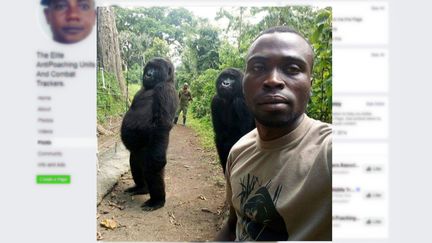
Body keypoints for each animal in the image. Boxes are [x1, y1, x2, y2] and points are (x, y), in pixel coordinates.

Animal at [120, 57, 177, 211]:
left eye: (156, 69)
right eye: (149, 67)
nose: (148, 74)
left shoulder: (165, 90)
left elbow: (162, 125)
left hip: (150, 153)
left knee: (152, 172)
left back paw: (157, 201)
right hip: (137, 154)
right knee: (134, 164)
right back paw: (141, 188)